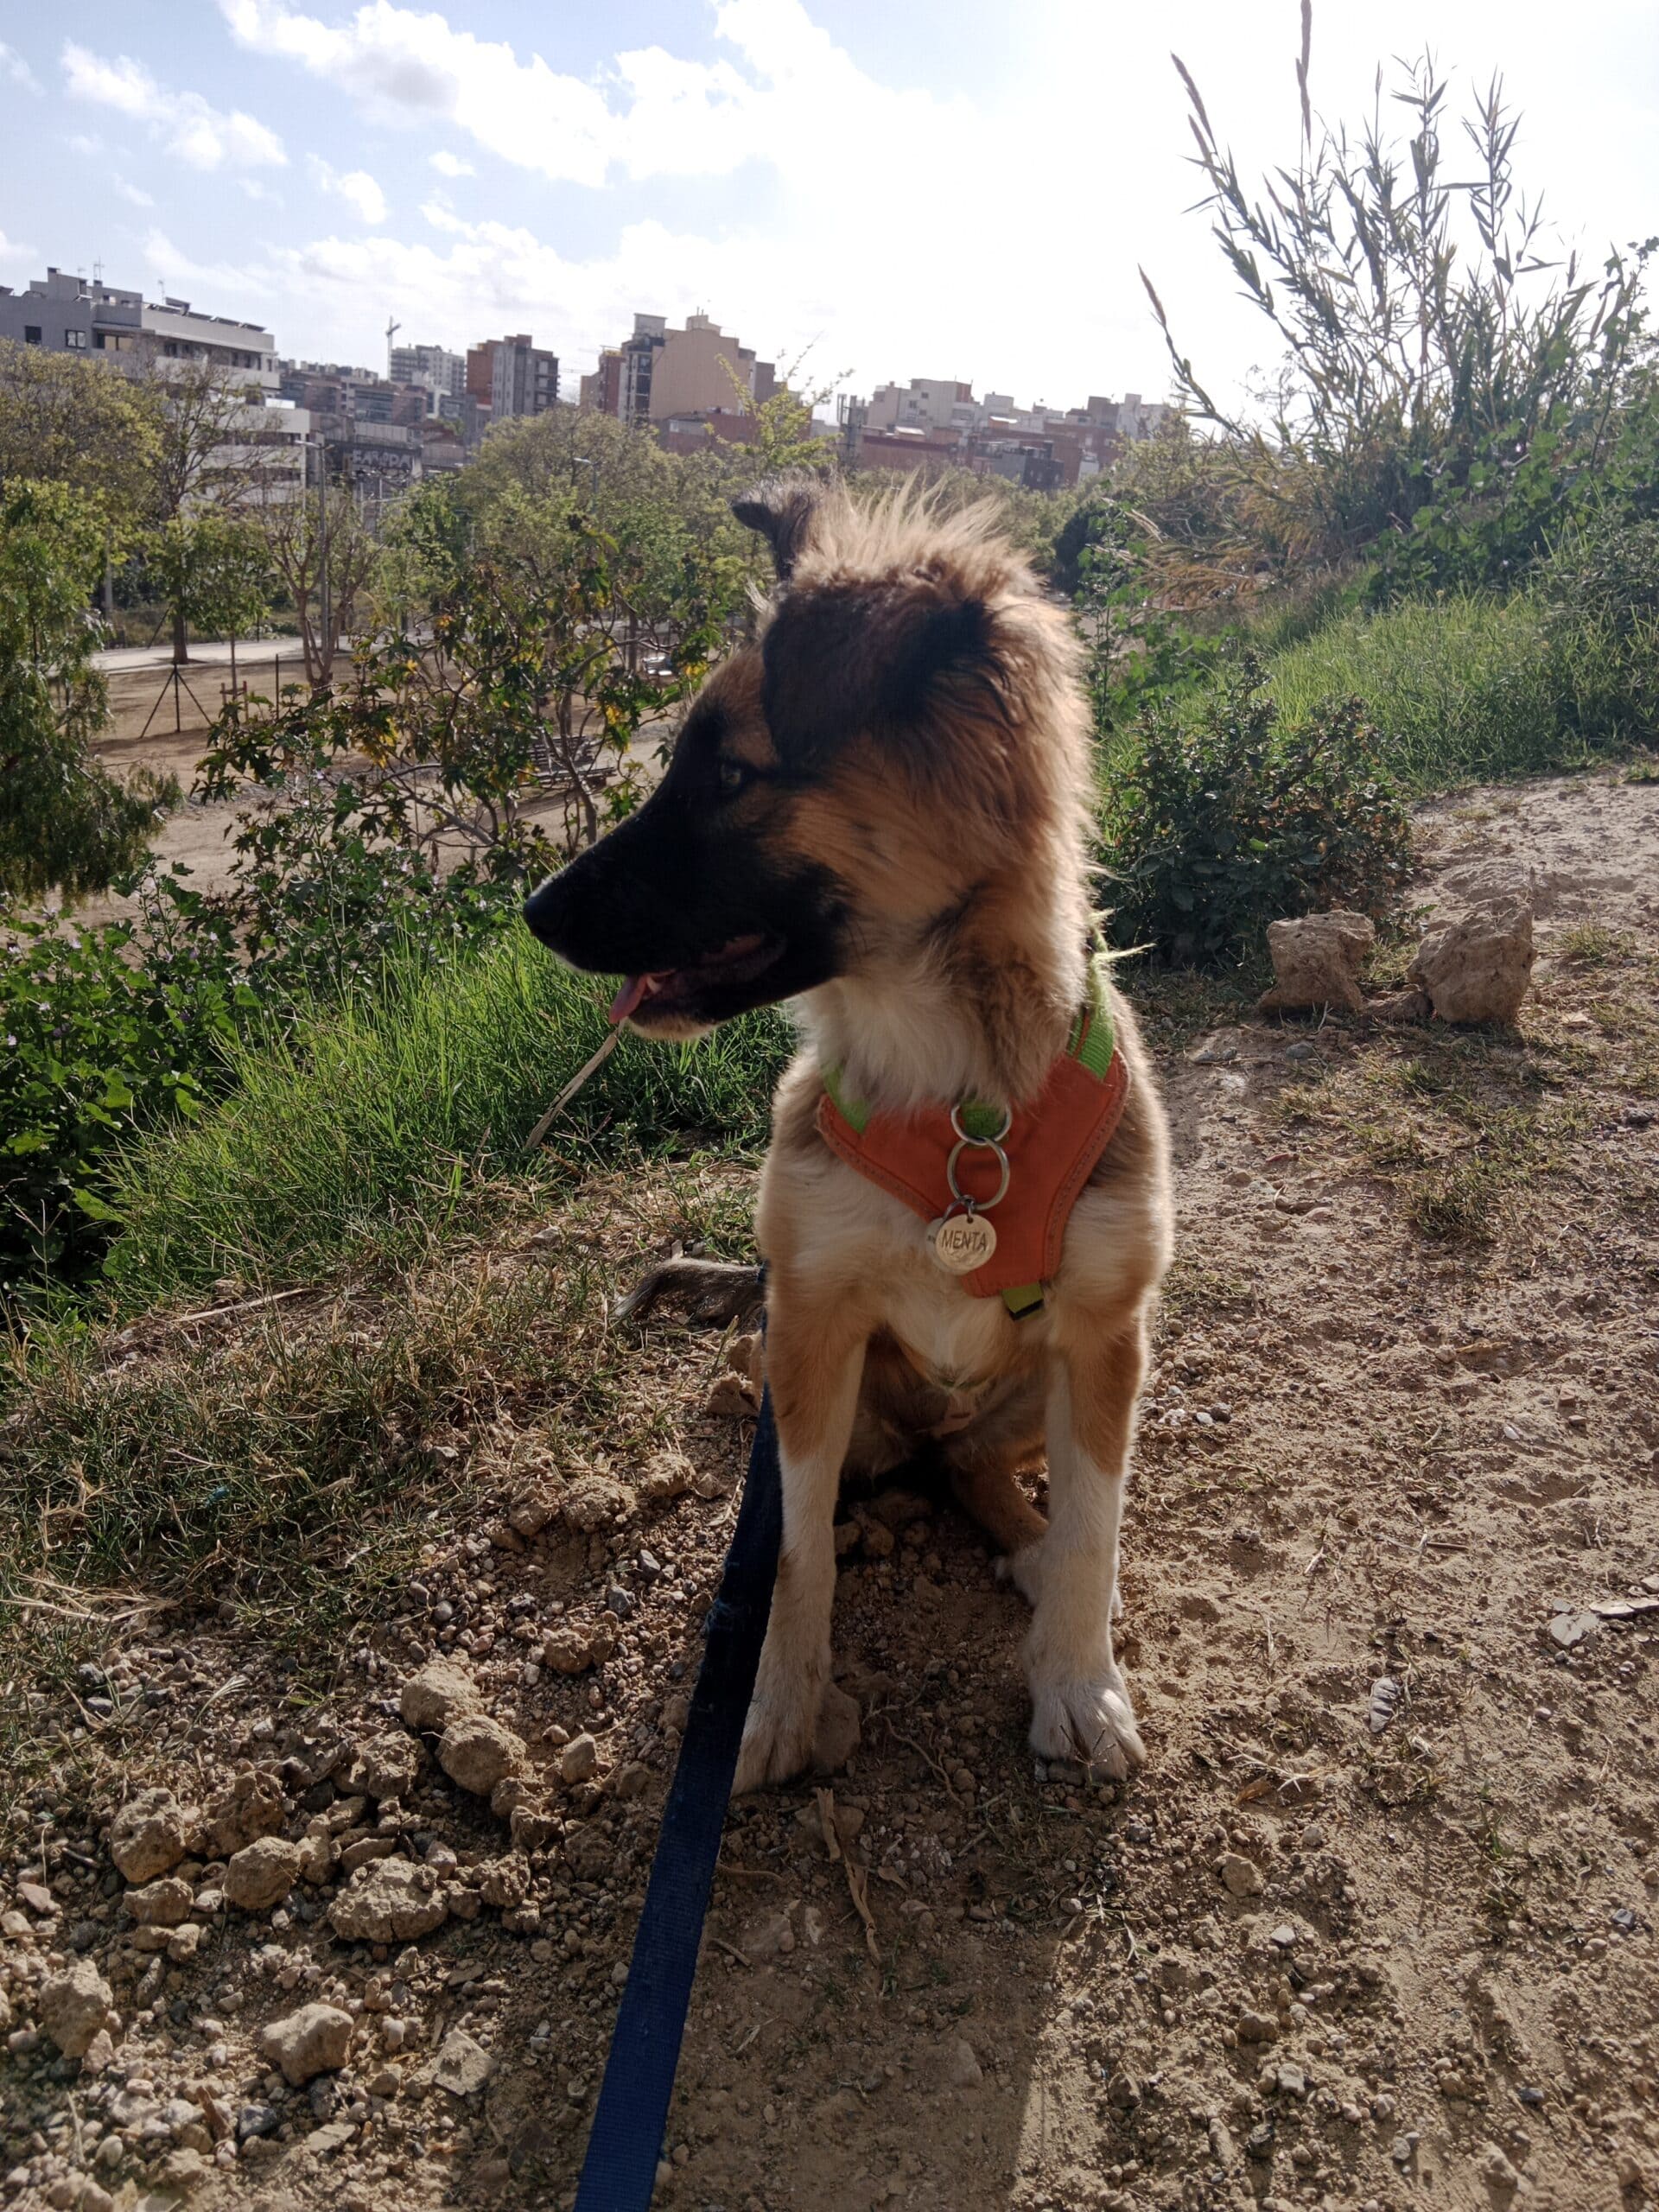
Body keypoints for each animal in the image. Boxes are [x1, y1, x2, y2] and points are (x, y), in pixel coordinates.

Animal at [526, 475, 1176, 1787]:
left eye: (731, 776)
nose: (533, 908)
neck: (949, 1082)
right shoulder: (814, 1327)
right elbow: (796, 1555)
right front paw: (776, 1703)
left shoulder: (1105, 1336)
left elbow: (1098, 1529)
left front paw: (1079, 1683)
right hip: (796, 1379)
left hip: (1040, 1390)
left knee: (979, 1468)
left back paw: (1024, 1546)